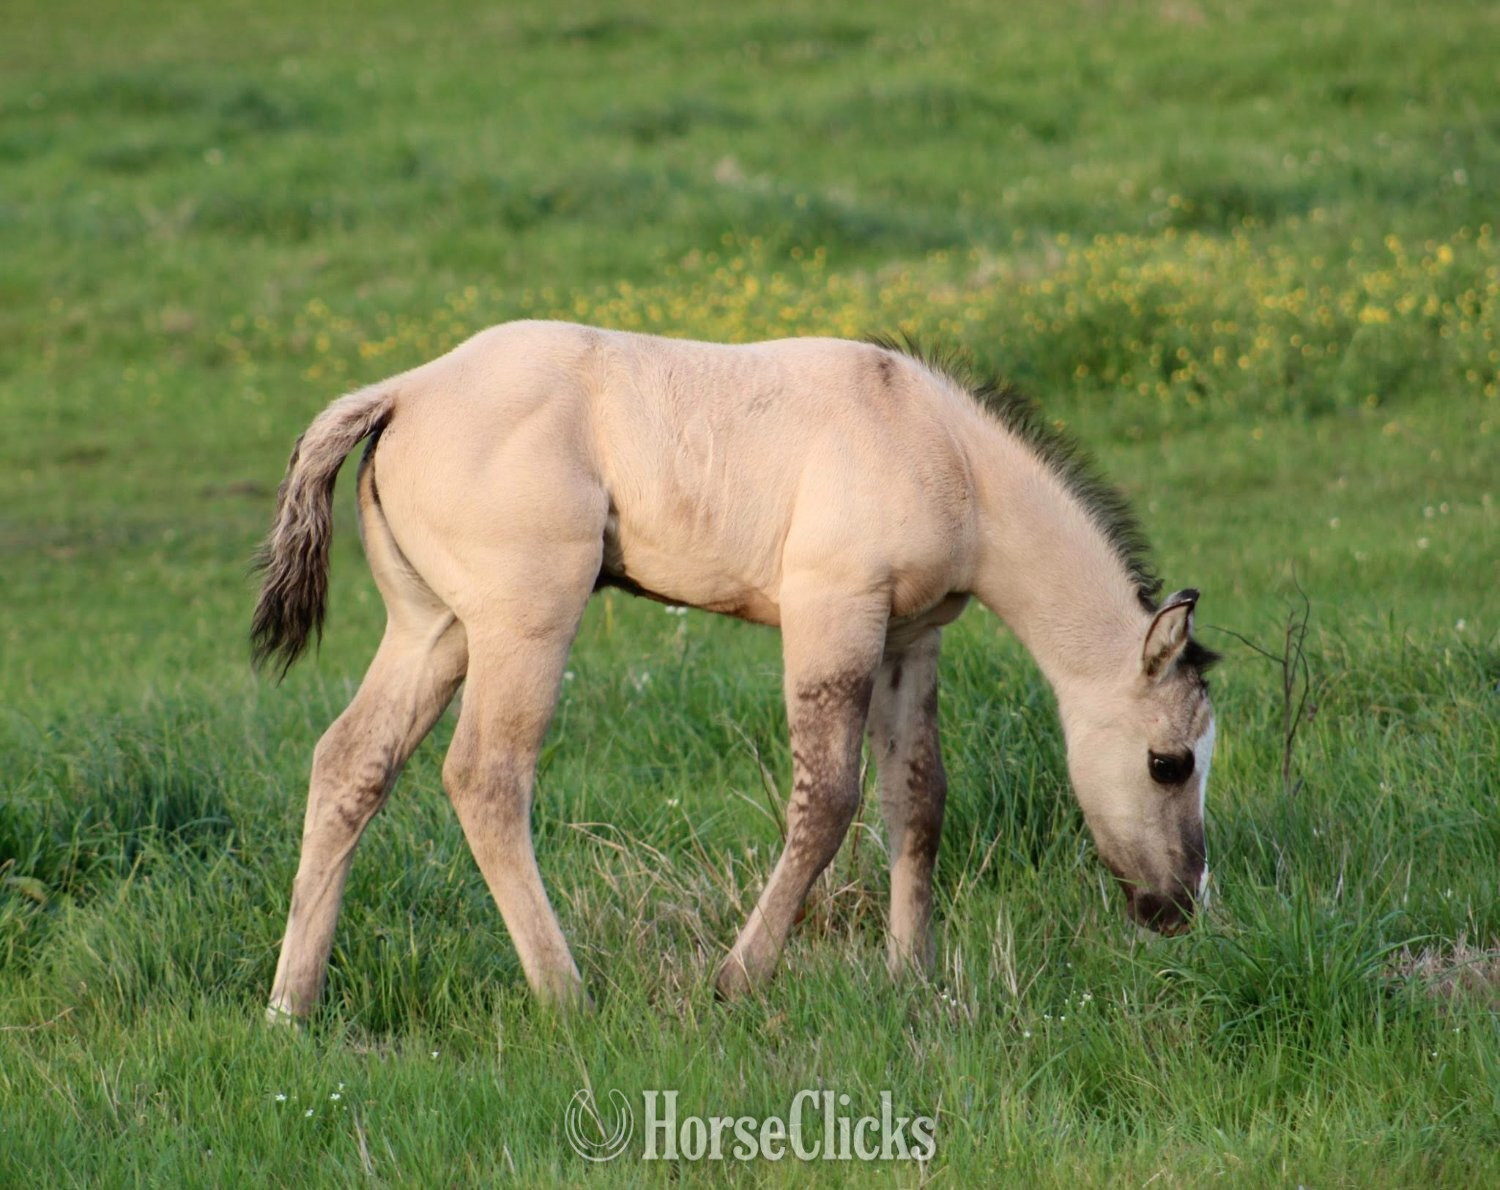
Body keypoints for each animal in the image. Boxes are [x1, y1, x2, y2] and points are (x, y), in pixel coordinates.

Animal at [253, 320, 1219, 1020]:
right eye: (1167, 763)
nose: (1178, 908)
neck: (943, 451)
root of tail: (403, 391)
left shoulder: (909, 640)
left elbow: (917, 799)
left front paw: (913, 977)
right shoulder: (833, 611)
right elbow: (828, 800)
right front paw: (739, 978)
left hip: (435, 629)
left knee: (350, 762)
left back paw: (291, 1007)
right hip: (525, 621)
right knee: (487, 777)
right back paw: (567, 997)